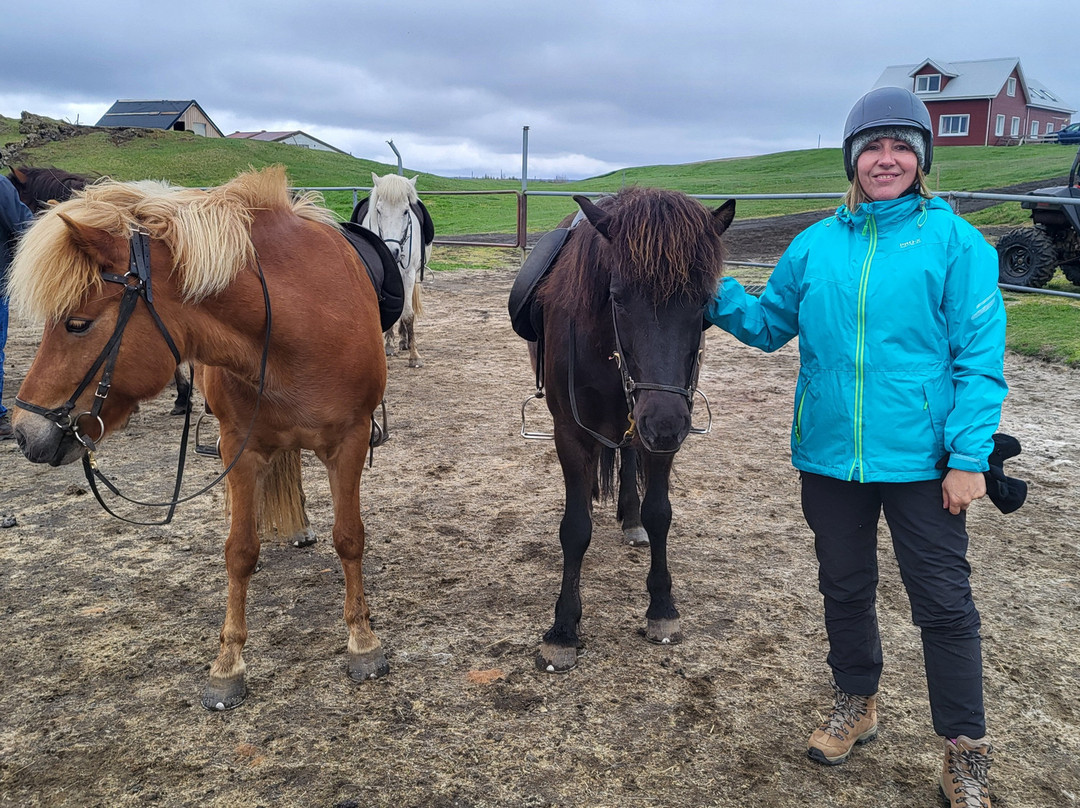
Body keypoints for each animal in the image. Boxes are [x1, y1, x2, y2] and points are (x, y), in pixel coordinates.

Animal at [351, 172, 434, 367]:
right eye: (379, 210)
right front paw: (388, 345)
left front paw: (414, 356)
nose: (392, 250)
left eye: (405, 211)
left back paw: (404, 340)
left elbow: (408, 314)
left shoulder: (409, 274)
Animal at [524, 187, 735, 672]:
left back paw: (630, 516)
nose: (665, 423)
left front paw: (662, 608)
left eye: (703, 302)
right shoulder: (570, 434)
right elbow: (575, 528)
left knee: (630, 456)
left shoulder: (661, 434)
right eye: (617, 297)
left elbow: (660, 514)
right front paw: (563, 629)